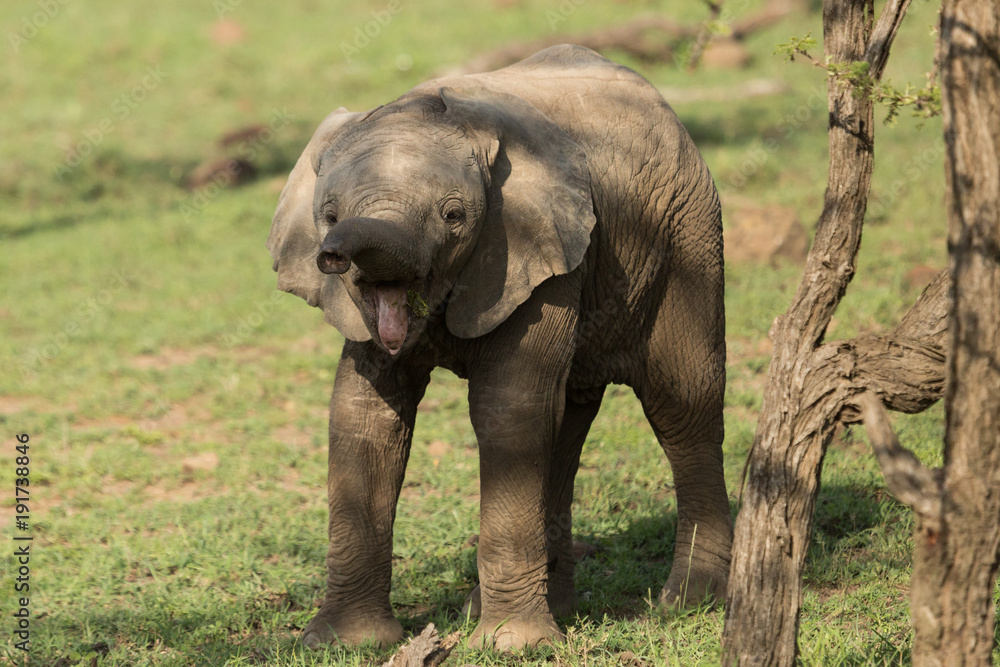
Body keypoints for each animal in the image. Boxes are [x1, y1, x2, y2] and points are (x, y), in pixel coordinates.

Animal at [267, 44, 732, 651]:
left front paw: (512, 646)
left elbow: (506, 408)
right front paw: (346, 644)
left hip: (688, 236)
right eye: (328, 216)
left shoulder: (539, 250)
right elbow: (364, 414)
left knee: (682, 403)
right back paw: (541, 608)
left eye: (454, 216)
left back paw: (688, 602)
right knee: (565, 422)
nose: (330, 253)